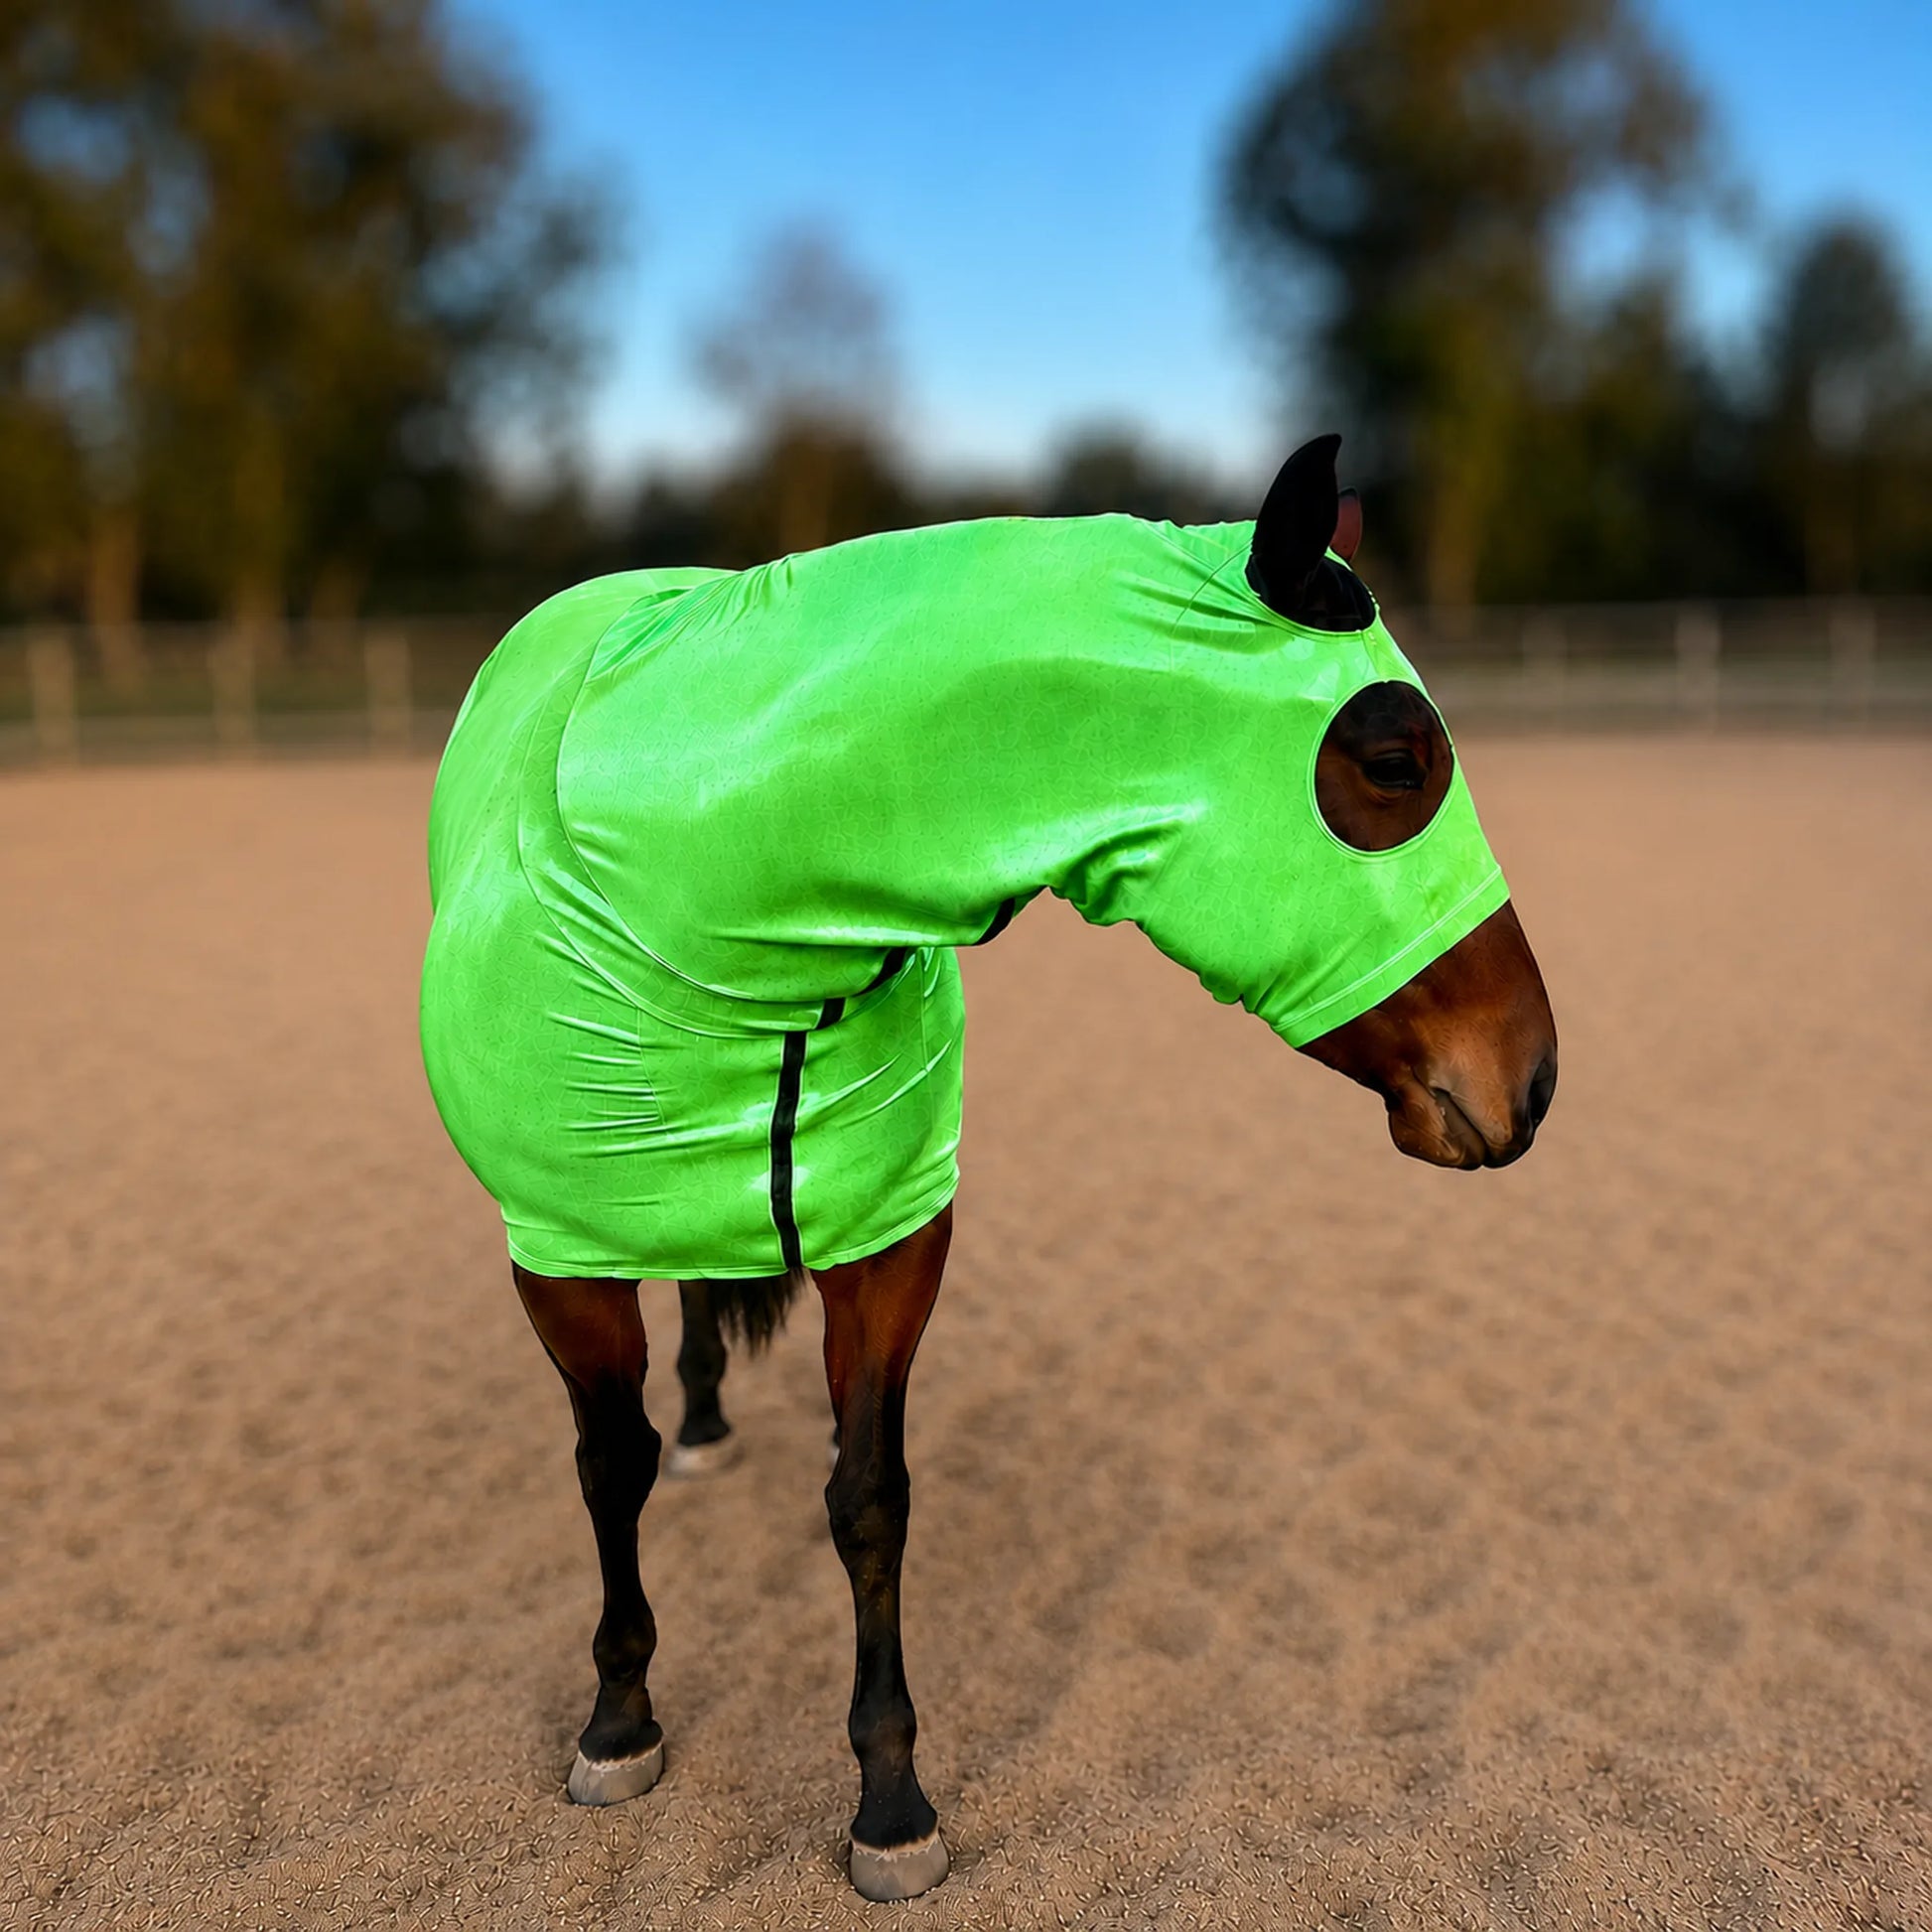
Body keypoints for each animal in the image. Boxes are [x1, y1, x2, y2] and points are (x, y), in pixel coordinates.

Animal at [421, 433, 1557, 1901]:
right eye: (1390, 756)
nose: (1532, 1074)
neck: (713, 898)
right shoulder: (558, 1247)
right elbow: (609, 1465)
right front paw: (618, 1719)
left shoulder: (892, 1239)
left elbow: (869, 1500)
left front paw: (890, 1801)